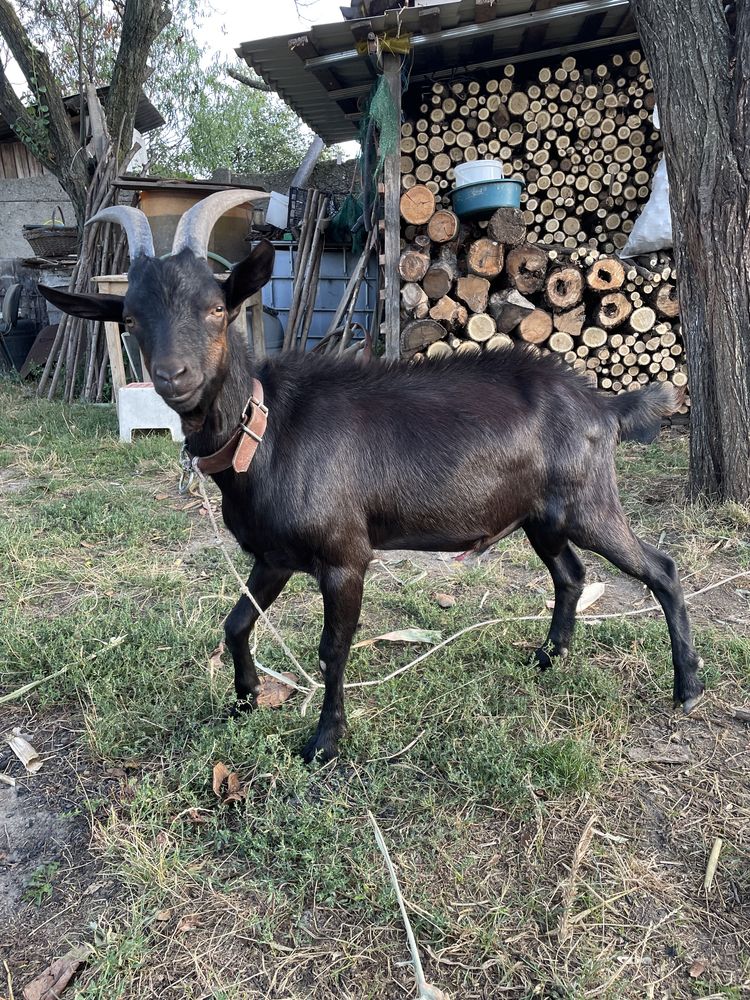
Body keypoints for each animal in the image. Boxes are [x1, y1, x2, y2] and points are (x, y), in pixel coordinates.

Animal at [44, 191, 708, 760]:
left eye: (215, 308)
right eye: (130, 318)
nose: (172, 376)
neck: (265, 431)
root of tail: (603, 405)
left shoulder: (345, 555)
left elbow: (332, 649)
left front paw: (323, 742)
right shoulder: (274, 555)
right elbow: (235, 624)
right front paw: (245, 700)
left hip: (588, 502)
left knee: (661, 568)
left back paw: (688, 687)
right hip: (539, 516)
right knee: (570, 574)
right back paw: (547, 658)